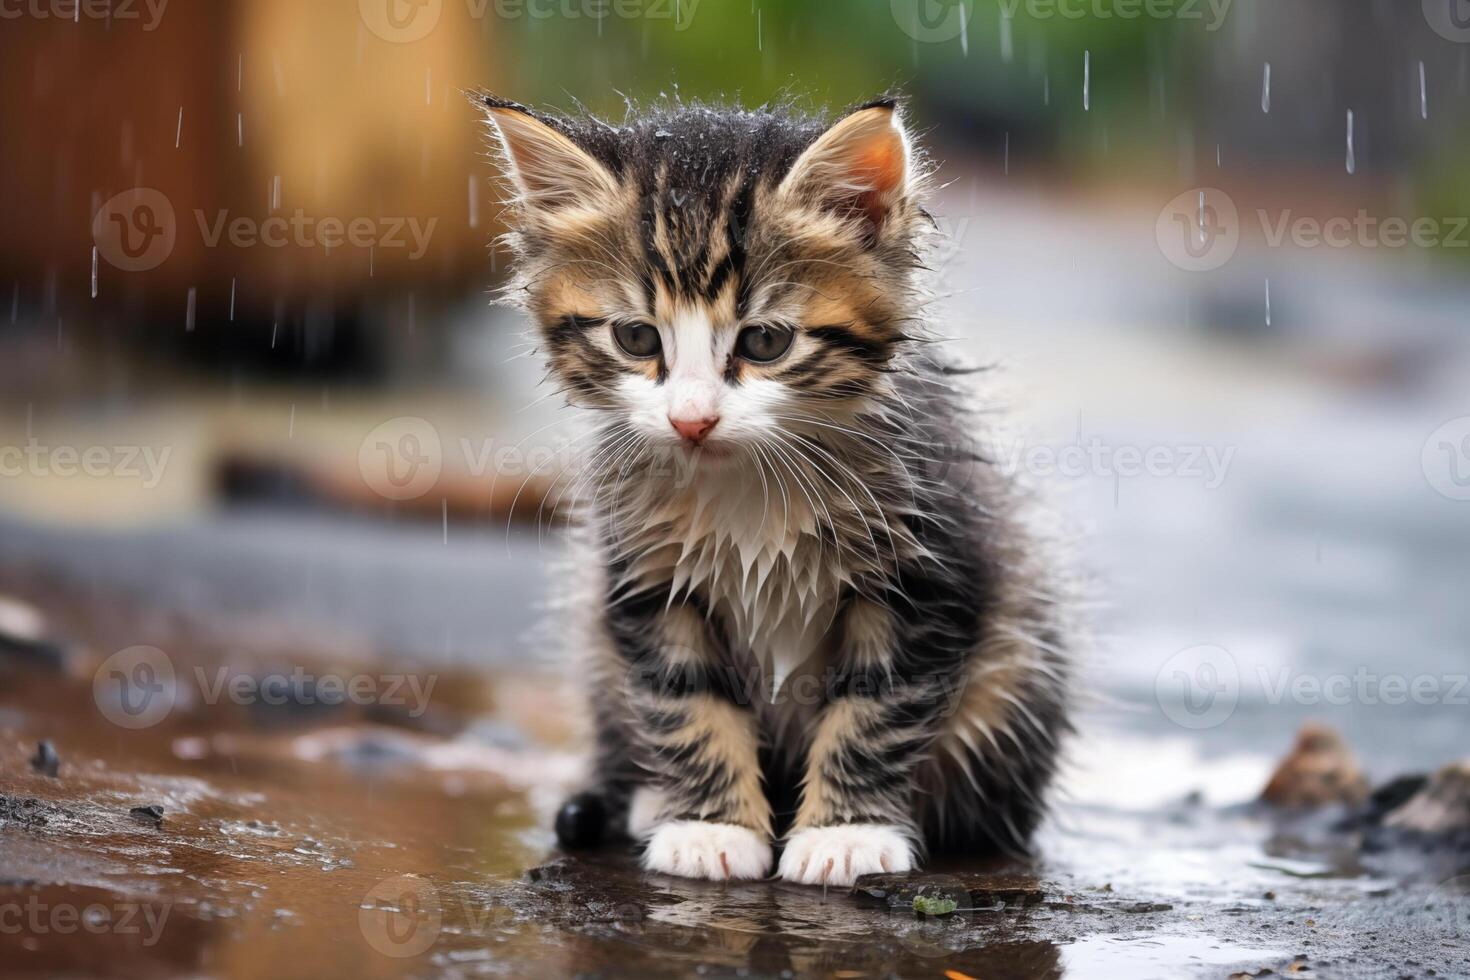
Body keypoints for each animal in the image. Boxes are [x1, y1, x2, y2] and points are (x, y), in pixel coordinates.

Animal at [488, 94, 1076, 887]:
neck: (748, 480)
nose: (692, 420)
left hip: (1019, 664)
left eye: (765, 342)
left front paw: (846, 834)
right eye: (637, 338)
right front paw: (711, 828)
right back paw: (649, 800)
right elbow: (685, 700)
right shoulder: (646, 577)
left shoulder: (926, 570)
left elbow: (877, 708)